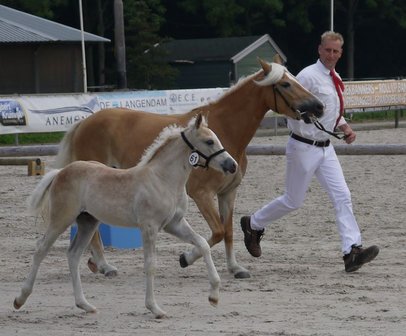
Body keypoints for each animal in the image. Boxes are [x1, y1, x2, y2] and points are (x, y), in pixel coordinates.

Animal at [14, 115, 236, 318]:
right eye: (209, 141)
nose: (231, 165)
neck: (163, 180)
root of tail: (61, 172)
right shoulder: (149, 227)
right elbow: (150, 265)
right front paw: (154, 308)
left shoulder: (174, 224)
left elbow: (203, 244)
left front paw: (214, 296)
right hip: (61, 219)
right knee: (41, 250)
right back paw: (20, 299)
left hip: (88, 222)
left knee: (74, 255)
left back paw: (85, 305)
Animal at [54, 57, 324, 278]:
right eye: (286, 84)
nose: (319, 106)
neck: (224, 131)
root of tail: (84, 123)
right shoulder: (202, 194)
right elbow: (216, 232)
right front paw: (186, 258)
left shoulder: (228, 193)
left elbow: (228, 231)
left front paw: (235, 268)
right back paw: (104, 265)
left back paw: (96, 264)